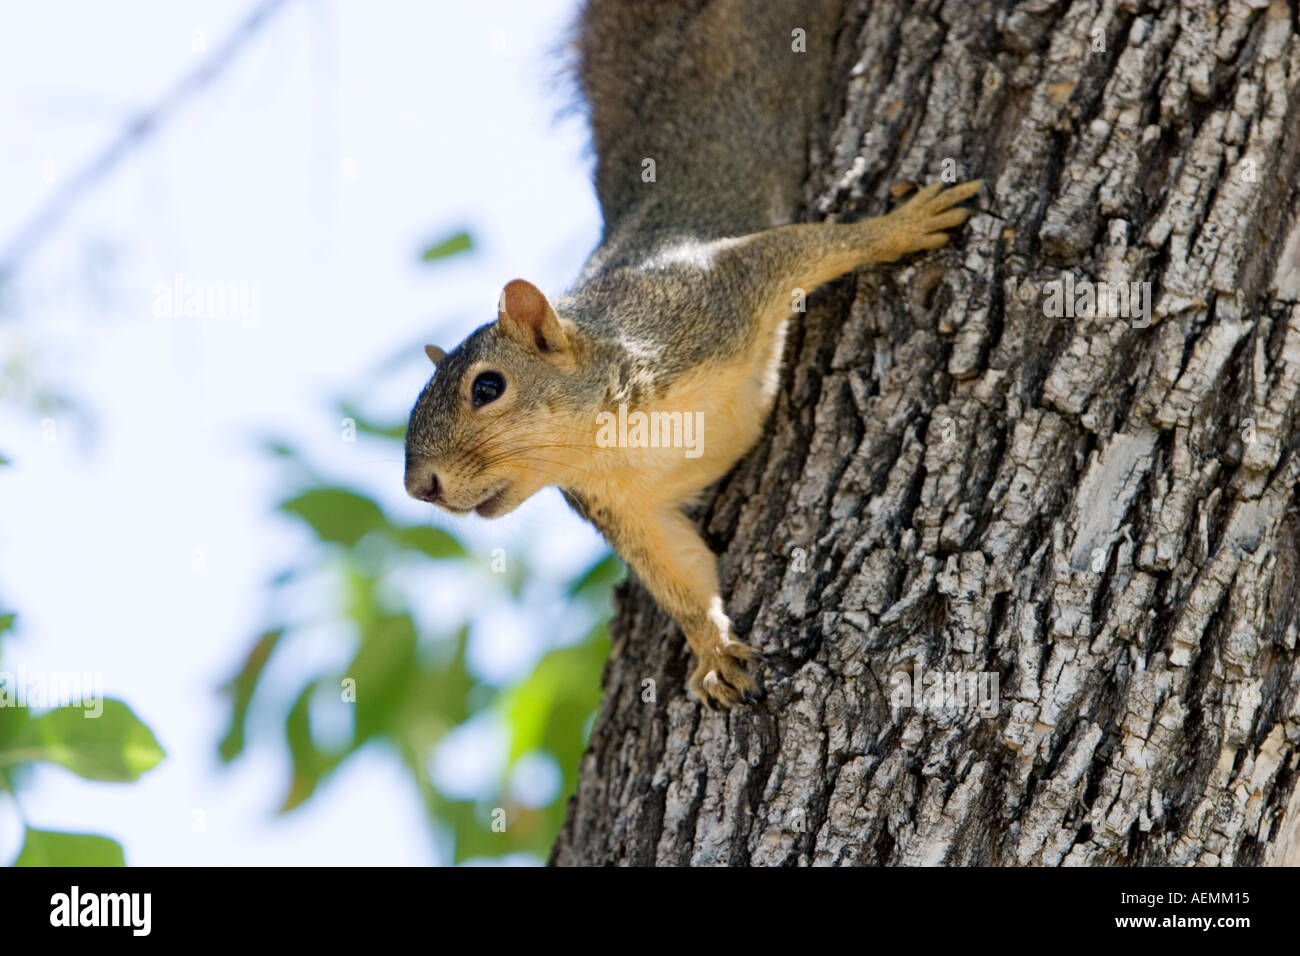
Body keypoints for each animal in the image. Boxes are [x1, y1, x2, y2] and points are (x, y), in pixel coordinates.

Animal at [404, 0, 981, 708]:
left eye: (487, 387)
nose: (419, 488)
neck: (612, 439)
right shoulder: (626, 512)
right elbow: (679, 574)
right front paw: (712, 653)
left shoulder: (715, 290)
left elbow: (809, 246)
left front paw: (898, 226)